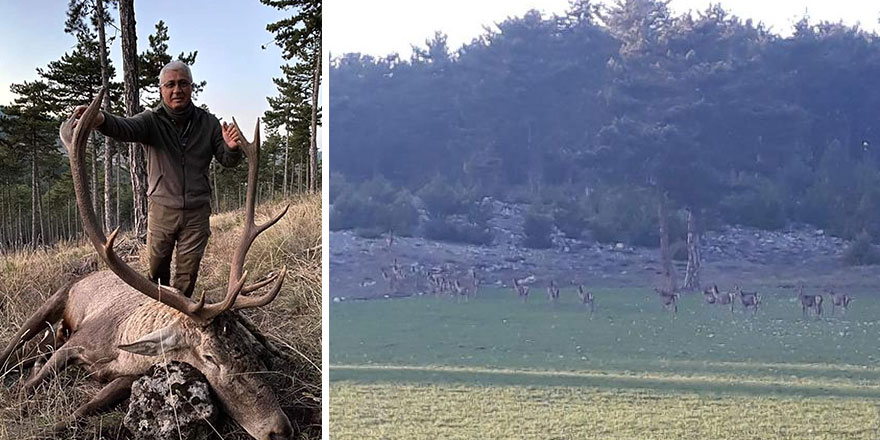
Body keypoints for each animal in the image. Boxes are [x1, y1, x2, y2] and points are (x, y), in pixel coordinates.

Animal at [0, 90, 296, 440]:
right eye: (210, 357)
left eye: (251, 349)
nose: (280, 429)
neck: (120, 352)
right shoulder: (76, 343)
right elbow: (30, 386)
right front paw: (18, 403)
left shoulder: (126, 376)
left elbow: (86, 407)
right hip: (56, 299)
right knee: (15, 345)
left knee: (32, 352)